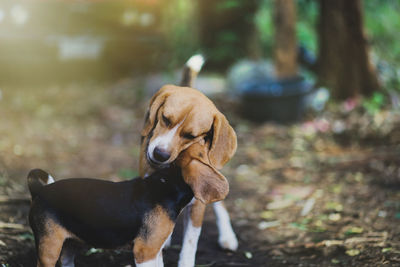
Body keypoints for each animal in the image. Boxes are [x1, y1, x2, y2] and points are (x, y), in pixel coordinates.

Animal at [140, 55, 238, 266]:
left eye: (191, 136)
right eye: (165, 118)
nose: (159, 154)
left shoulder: (197, 207)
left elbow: (190, 243)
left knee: (220, 205)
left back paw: (227, 236)